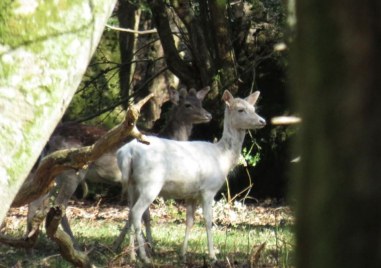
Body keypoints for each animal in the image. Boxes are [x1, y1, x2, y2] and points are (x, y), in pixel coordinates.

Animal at [116, 90, 264, 262]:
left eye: (254, 108)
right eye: (241, 109)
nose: (262, 121)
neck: (222, 158)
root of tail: (127, 152)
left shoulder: (191, 194)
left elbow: (189, 221)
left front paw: (183, 253)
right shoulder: (208, 189)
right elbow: (208, 220)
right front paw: (212, 256)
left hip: (132, 183)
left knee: (130, 213)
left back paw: (132, 256)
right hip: (150, 183)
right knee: (137, 212)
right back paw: (144, 257)